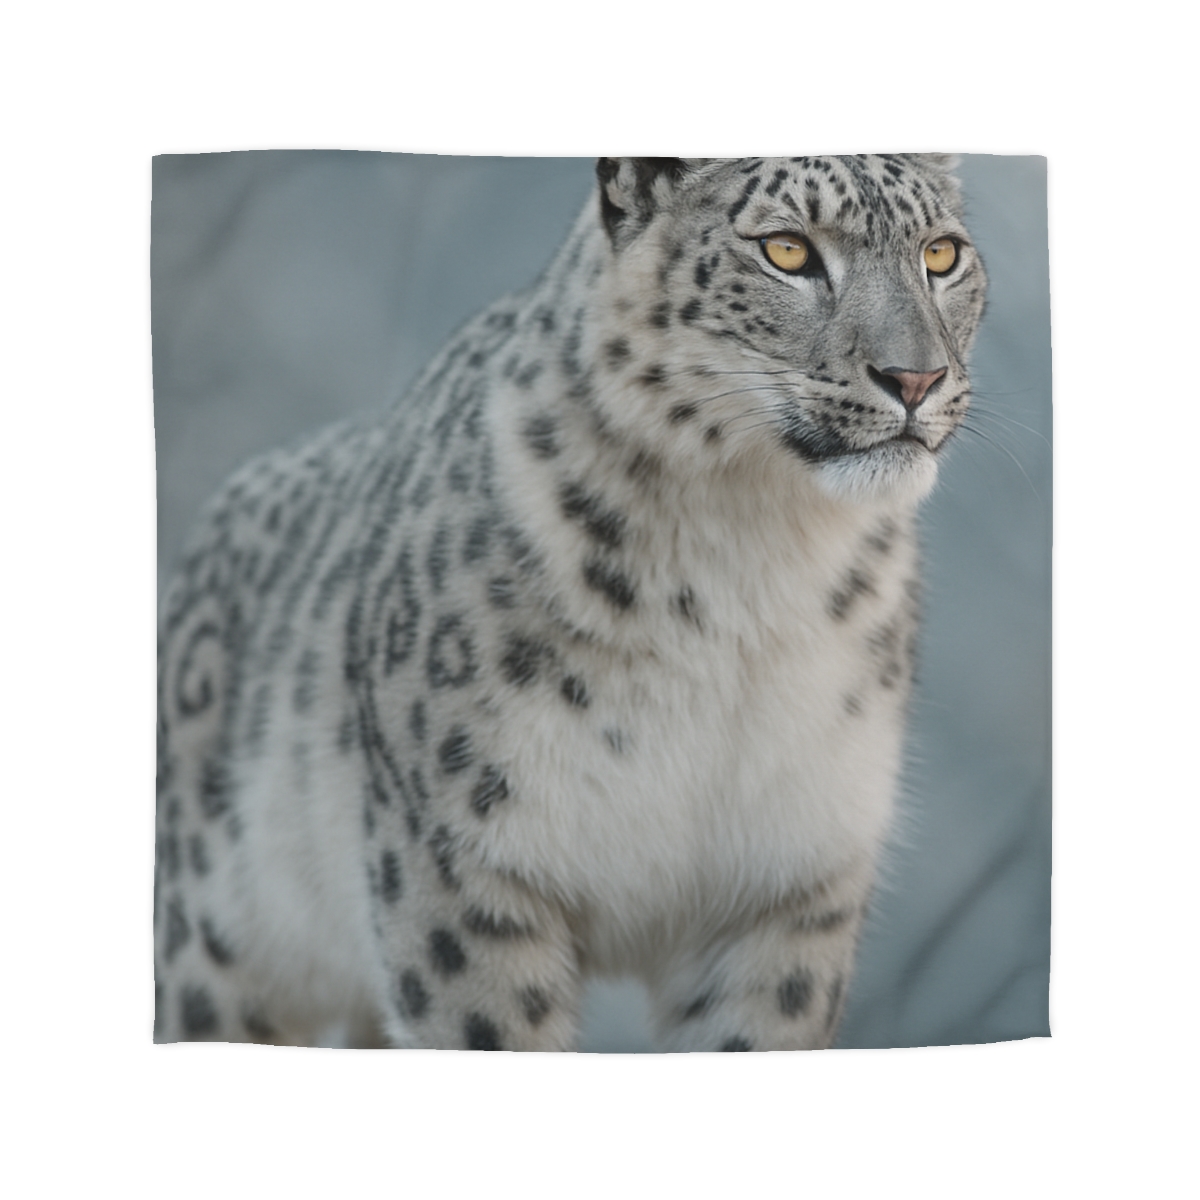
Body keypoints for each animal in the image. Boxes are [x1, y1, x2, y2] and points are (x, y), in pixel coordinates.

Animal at [154, 155, 987, 1051]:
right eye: (788, 250)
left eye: (941, 254)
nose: (916, 377)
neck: (756, 563)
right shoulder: (463, 868)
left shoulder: (793, 885)